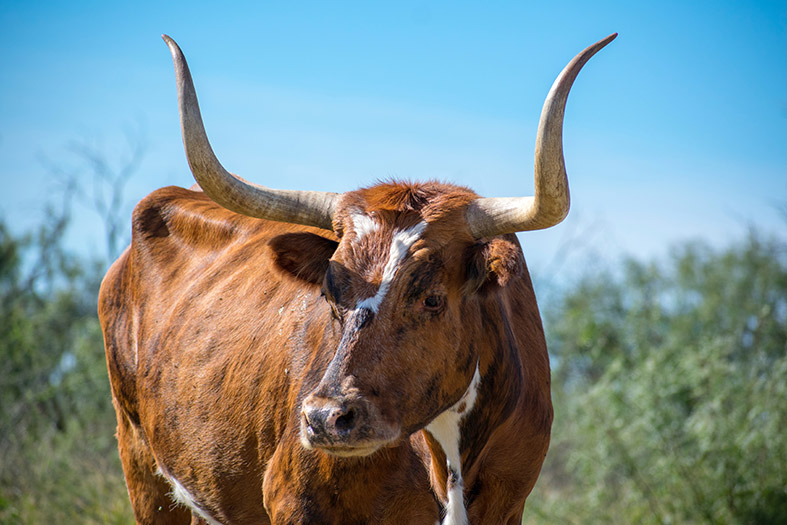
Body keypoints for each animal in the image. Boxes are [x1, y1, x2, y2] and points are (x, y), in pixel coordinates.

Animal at [98, 33, 616, 524]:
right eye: (330, 294)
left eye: (432, 298)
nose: (326, 418)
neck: (446, 460)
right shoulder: (295, 505)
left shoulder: (509, 507)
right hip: (141, 466)